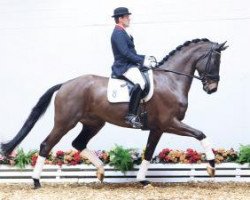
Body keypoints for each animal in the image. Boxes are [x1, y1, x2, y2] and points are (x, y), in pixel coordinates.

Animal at [0, 38, 228, 188]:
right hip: (65, 122)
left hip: (93, 123)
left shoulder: (157, 128)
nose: (212, 88)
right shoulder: (170, 123)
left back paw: (101, 171)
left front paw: (143, 180)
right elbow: (200, 134)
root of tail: (65, 84)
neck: (171, 81)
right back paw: (36, 181)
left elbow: (149, 152)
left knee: (78, 143)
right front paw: (211, 166)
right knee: (47, 145)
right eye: (215, 60)